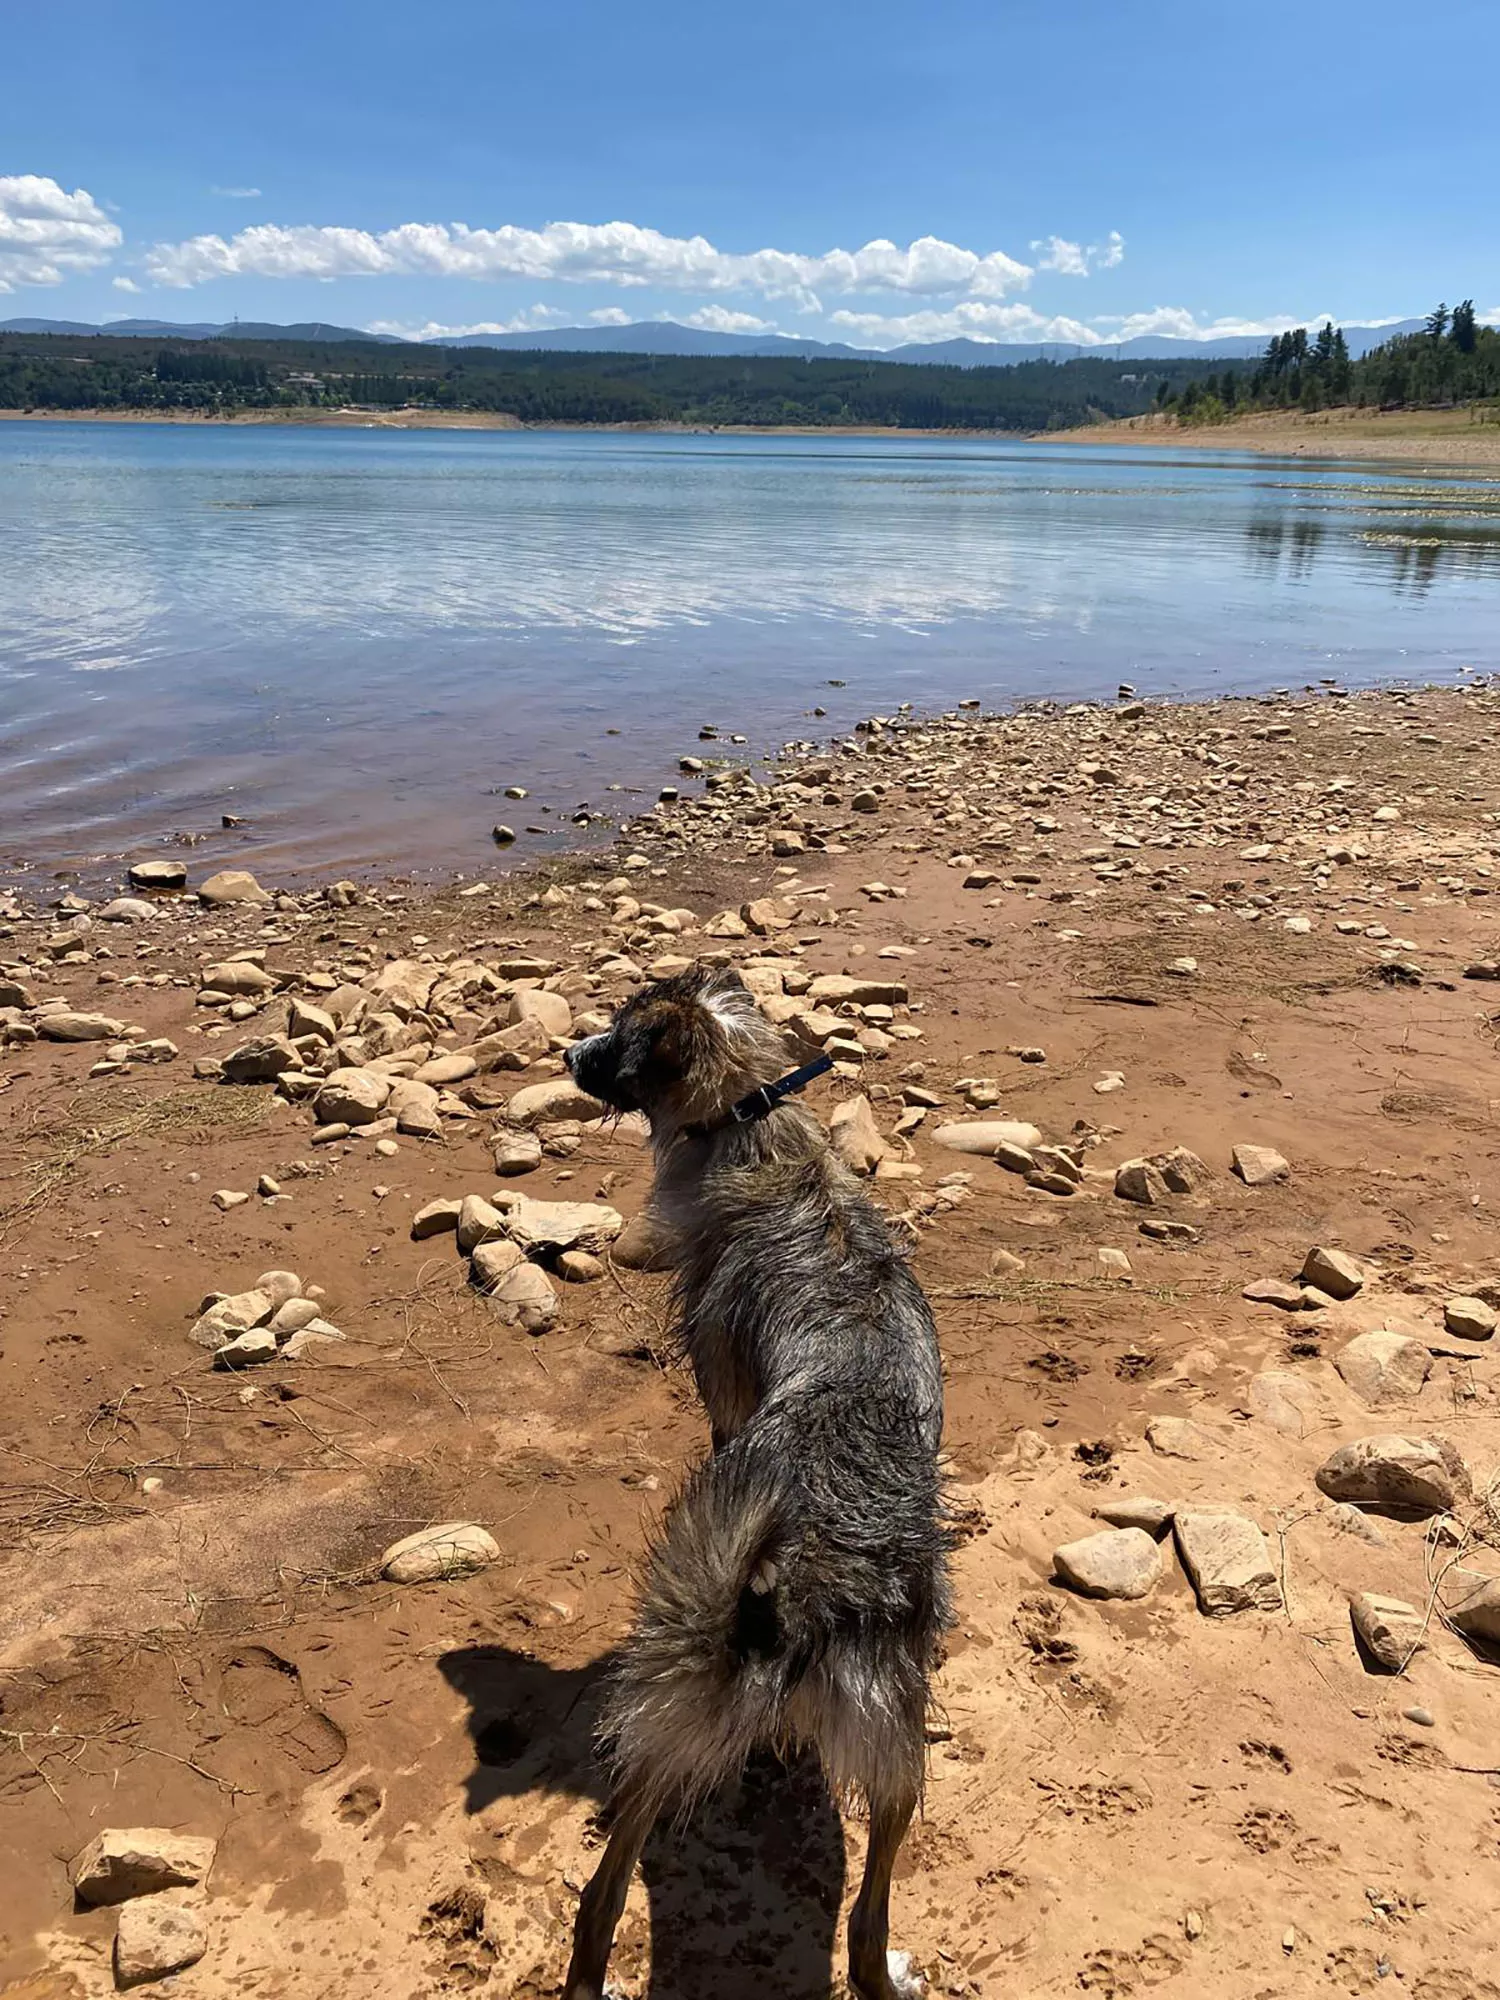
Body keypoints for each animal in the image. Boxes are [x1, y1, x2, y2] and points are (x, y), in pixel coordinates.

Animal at [564, 960, 952, 1992]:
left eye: (618, 1034)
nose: (567, 1051)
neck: (751, 1114)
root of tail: (801, 1591)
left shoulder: (723, 1392)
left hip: (671, 1705)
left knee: (601, 1897)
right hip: (898, 1751)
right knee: (865, 1924)